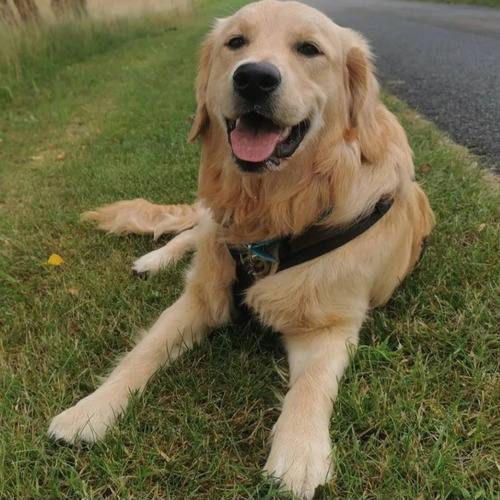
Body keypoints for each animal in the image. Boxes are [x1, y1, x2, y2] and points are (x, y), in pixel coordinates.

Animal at [48, 1, 436, 498]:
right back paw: (154, 259)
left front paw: (298, 455)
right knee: (190, 232)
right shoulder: (200, 297)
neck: (274, 210)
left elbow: (310, 386)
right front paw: (90, 411)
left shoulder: (331, 327)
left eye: (309, 49)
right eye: (236, 42)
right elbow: (142, 353)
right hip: (211, 223)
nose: (253, 78)